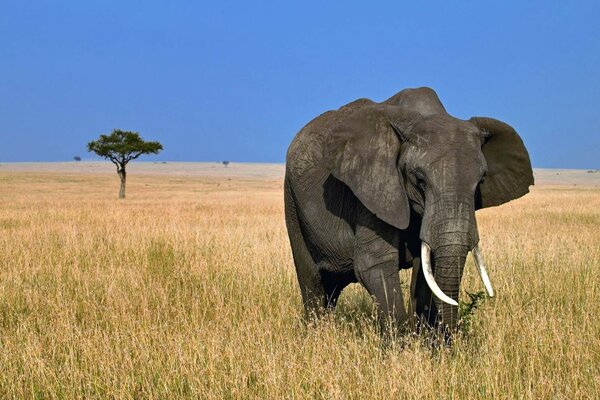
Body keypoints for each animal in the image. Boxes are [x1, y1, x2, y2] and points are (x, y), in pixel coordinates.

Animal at [284, 86, 532, 336]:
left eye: (481, 181)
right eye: (419, 179)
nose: (449, 338)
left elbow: (426, 271)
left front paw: (425, 339)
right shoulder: (374, 187)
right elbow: (375, 263)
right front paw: (402, 343)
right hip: (292, 201)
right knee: (313, 281)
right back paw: (316, 332)